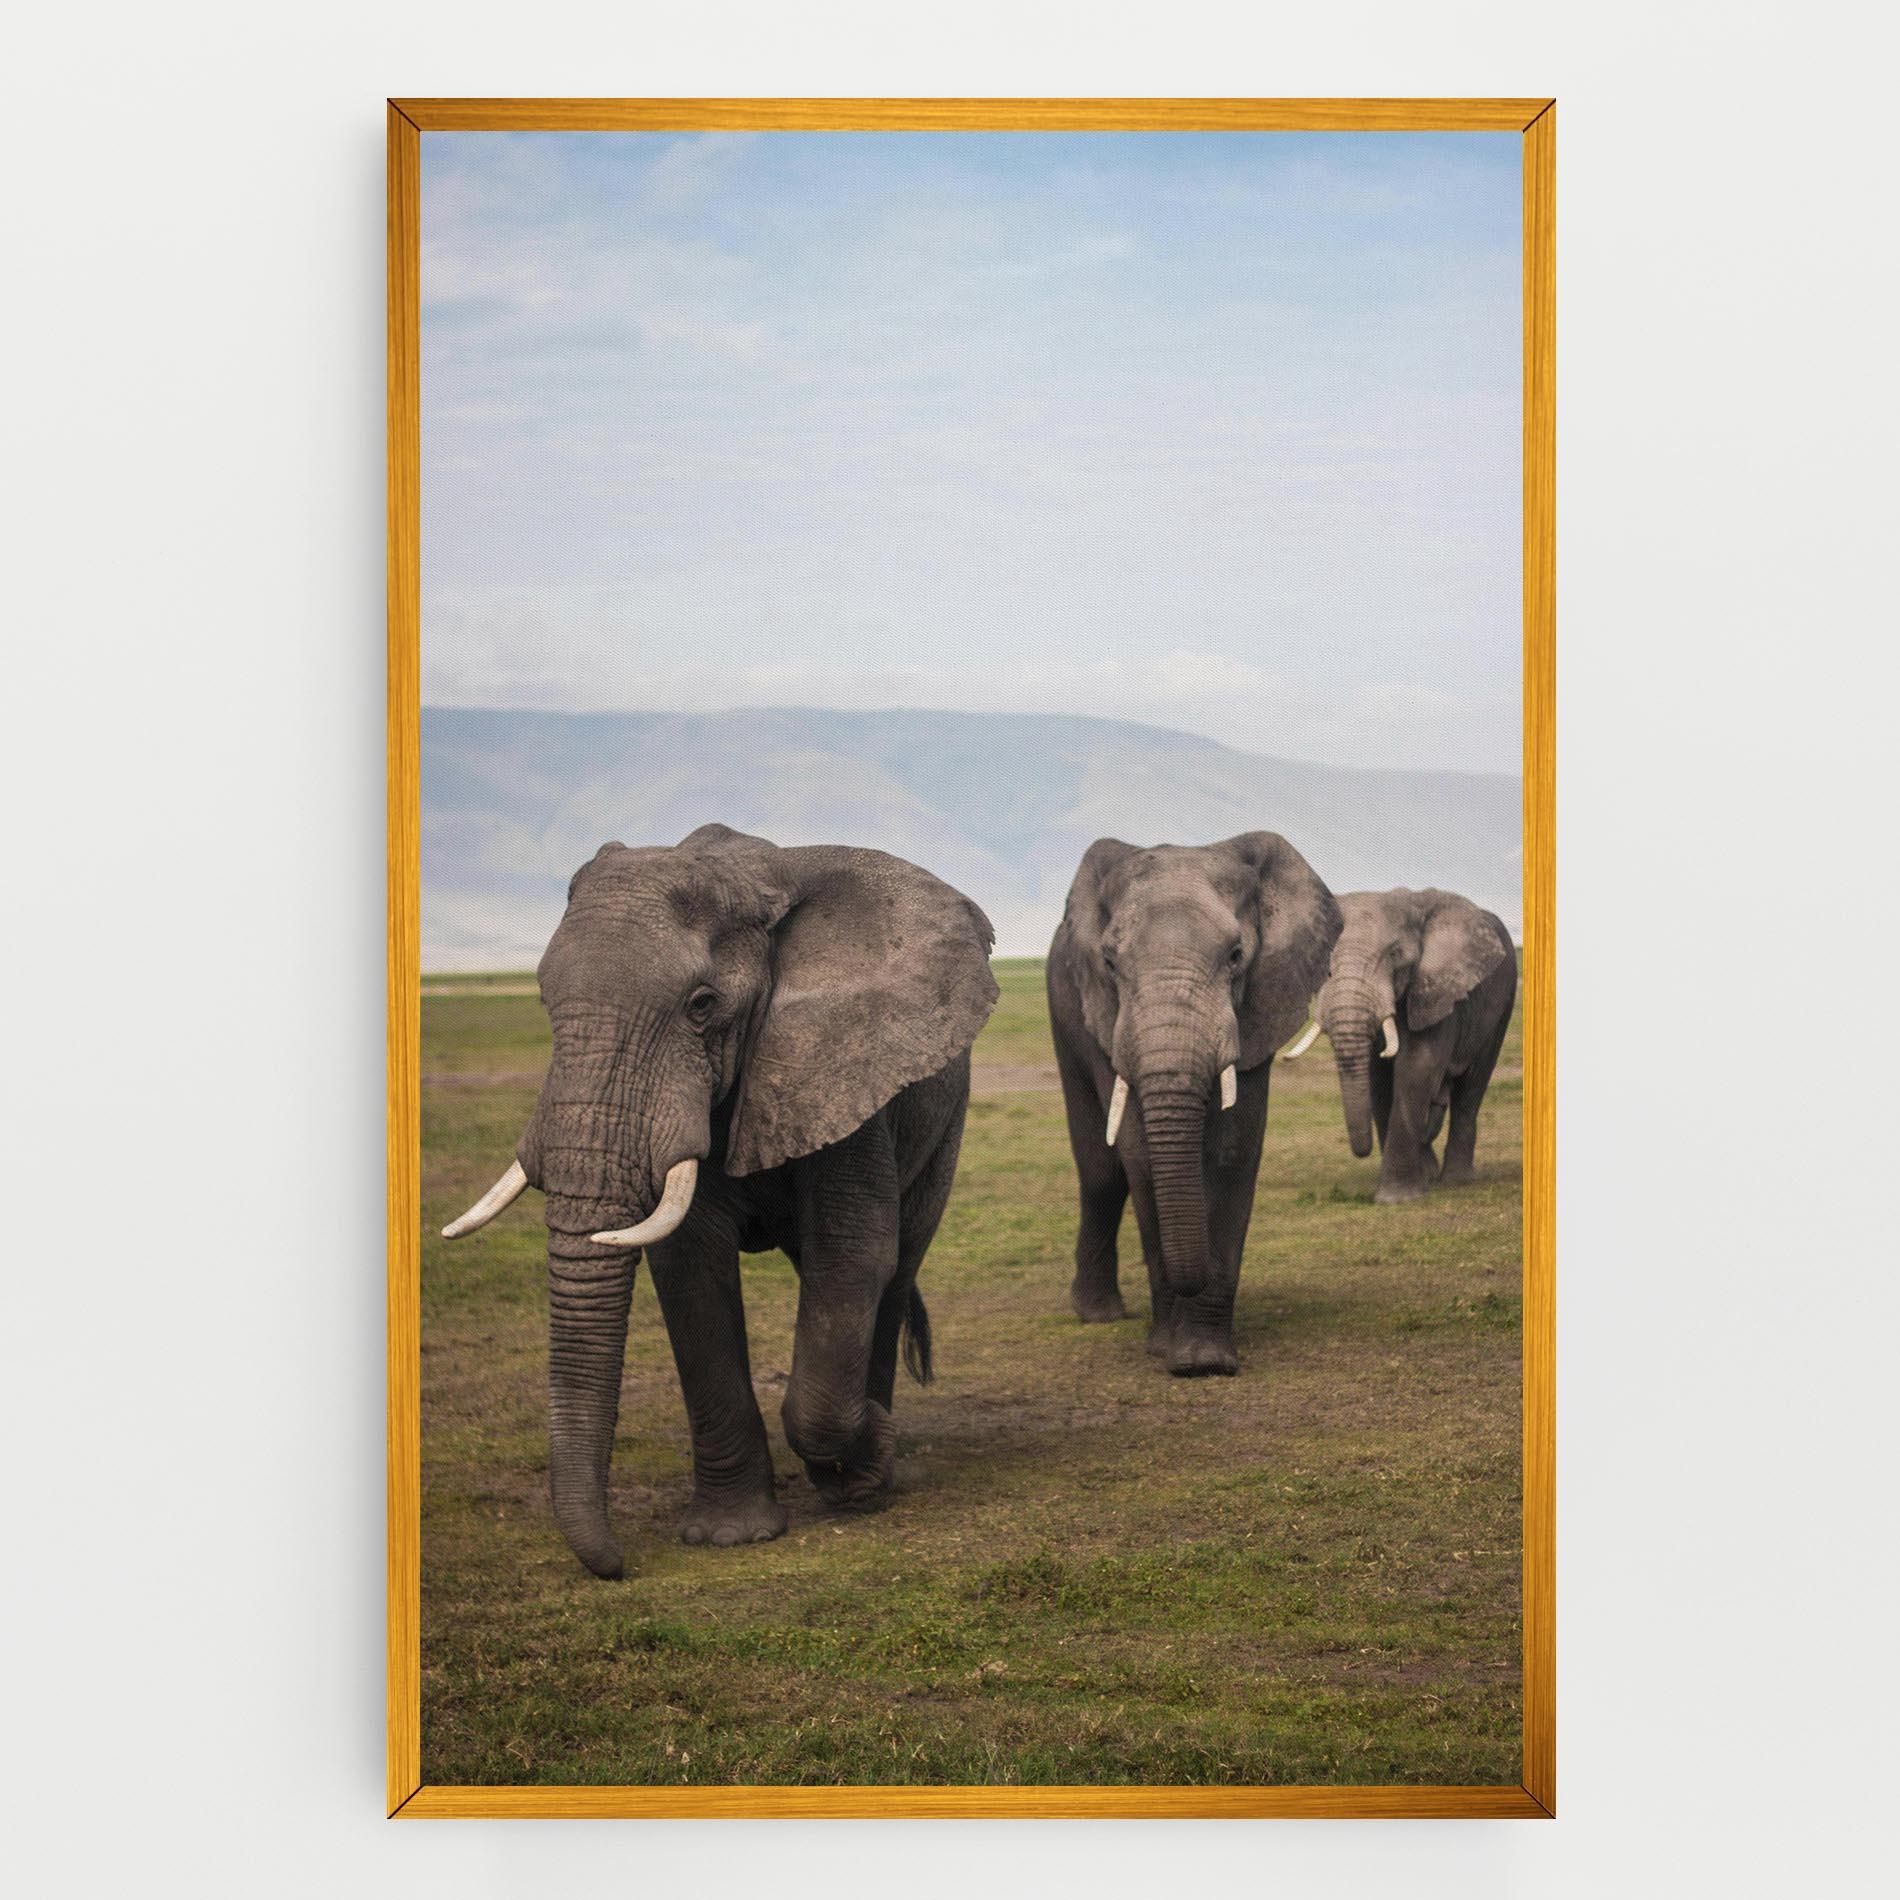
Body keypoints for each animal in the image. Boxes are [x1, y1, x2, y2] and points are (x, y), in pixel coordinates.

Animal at [440, 823, 998, 1578]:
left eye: (702, 1005)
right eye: (543, 1001)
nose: (617, 1565)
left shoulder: (843, 1064)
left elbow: (853, 1254)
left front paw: (864, 1464)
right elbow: (690, 1268)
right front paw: (730, 1536)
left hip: (946, 1121)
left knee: (897, 1262)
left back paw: (870, 1470)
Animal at [1046, 833, 1341, 1375]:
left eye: (1236, 955)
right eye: (1110, 964)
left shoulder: (1258, 1008)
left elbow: (1231, 1152)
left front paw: (1205, 1360)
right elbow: (1140, 1156)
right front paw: (1169, 1352)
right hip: (1064, 1010)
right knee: (1101, 1172)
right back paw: (1098, 1314)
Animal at [1287, 888, 1516, 1204]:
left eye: (1395, 955)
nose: (1363, 1151)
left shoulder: (1437, 990)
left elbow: (1417, 1067)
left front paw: (1396, 1199)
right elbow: (1379, 1080)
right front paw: (1414, 1184)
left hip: (1503, 1003)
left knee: (1472, 1086)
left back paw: (1457, 1179)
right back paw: (1430, 1174)